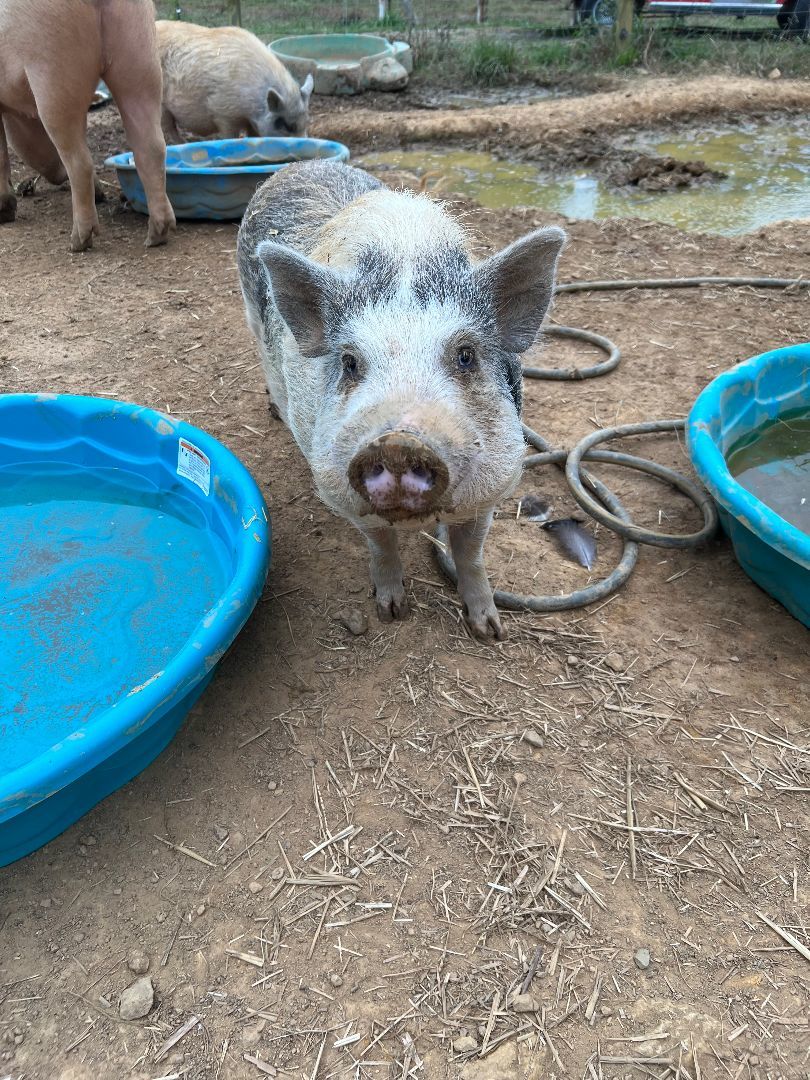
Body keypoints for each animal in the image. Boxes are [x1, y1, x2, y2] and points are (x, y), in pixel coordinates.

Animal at [0, 0, 174, 252]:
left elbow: (1, 156)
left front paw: (4, 213)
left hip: (54, 69)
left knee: (80, 162)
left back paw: (78, 242)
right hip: (141, 54)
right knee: (152, 147)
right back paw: (156, 236)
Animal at [155, 21, 314, 144]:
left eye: (306, 121)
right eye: (289, 126)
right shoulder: (223, 113)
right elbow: (229, 136)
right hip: (162, 106)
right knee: (167, 128)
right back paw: (182, 143)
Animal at [237, 161, 564, 640]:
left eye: (466, 355)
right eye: (350, 362)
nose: (397, 442)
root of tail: (302, 164)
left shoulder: (492, 488)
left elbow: (470, 556)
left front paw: (490, 630)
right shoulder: (344, 491)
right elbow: (382, 548)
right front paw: (391, 612)